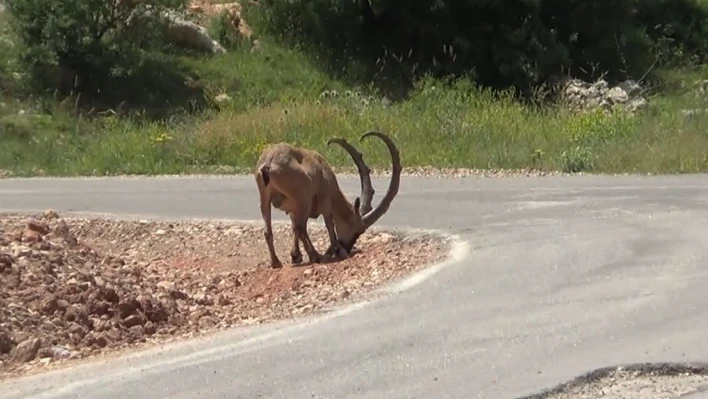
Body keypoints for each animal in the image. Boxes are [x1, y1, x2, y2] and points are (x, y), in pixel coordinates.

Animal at [254, 131, 402, 268]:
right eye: (358, 230)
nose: (347, 248)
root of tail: (268, 164)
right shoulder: (324, 197)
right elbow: (329, 223)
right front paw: (337, 250)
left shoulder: (293, 209)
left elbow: (293, 226)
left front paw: (296, 256)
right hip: (303, 199)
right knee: (301, 227)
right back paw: (315, 256)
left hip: (265, 198)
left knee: (269, 230)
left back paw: (276, 262)